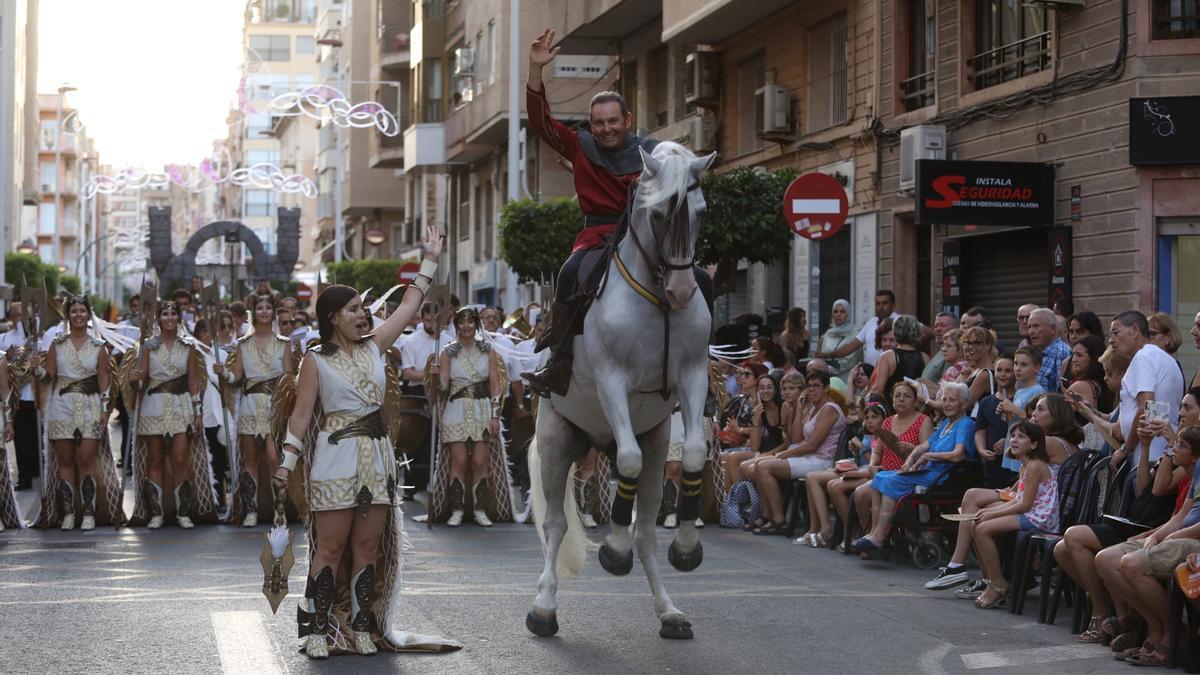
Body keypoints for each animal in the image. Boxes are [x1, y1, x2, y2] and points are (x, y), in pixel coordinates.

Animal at [530, 140, 715, 634]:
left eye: (700, 211)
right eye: (657, 214)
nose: (683, 290)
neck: (657, 302)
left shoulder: (693, 376)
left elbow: (694, 453)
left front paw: (686, 547)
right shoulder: (612, 380)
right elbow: (627, 458)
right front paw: (613, 551)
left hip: (656, 449)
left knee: (646, 530)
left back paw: (668, 610)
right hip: (557, 443)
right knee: (555, 526)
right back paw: (544, 608)